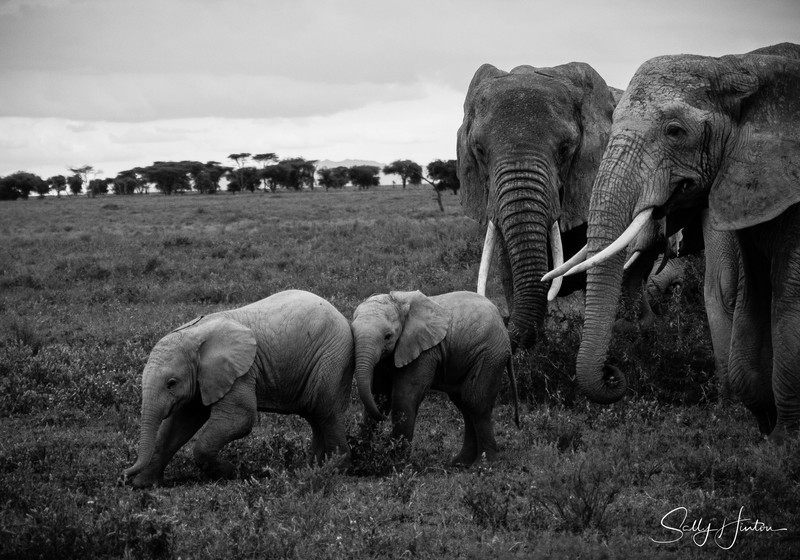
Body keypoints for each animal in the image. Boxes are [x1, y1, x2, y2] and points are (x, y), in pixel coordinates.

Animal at [123, 290, 354, 488]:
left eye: (171, 383)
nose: (124, 474)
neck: (195, 334)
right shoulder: (204, 377)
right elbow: (180, 424)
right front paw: (144, 485)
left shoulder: (240, 372)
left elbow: (240, 419)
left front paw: (231, 472)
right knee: (315, 416)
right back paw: (310, 470)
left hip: (332, 359)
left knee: (327, 413)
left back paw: (336, 470)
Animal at [351, 290, 519, 466]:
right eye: (352, 334)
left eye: (388, 336)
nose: (383, 417)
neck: (398, 301)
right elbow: (379, 396)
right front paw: (363, 456)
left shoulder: (423, 351)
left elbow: (404, 398)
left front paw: (395, 463)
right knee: (464, 403)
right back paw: (460, 464)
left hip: (489, 355)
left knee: (475, 403)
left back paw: (484, 465)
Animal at [545, 43, 800, 438]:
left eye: (675, 131)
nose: (614, 372)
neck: (738, 65)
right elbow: (749, 290)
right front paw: (762, 427)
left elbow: (783, 297)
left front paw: (785, 438)